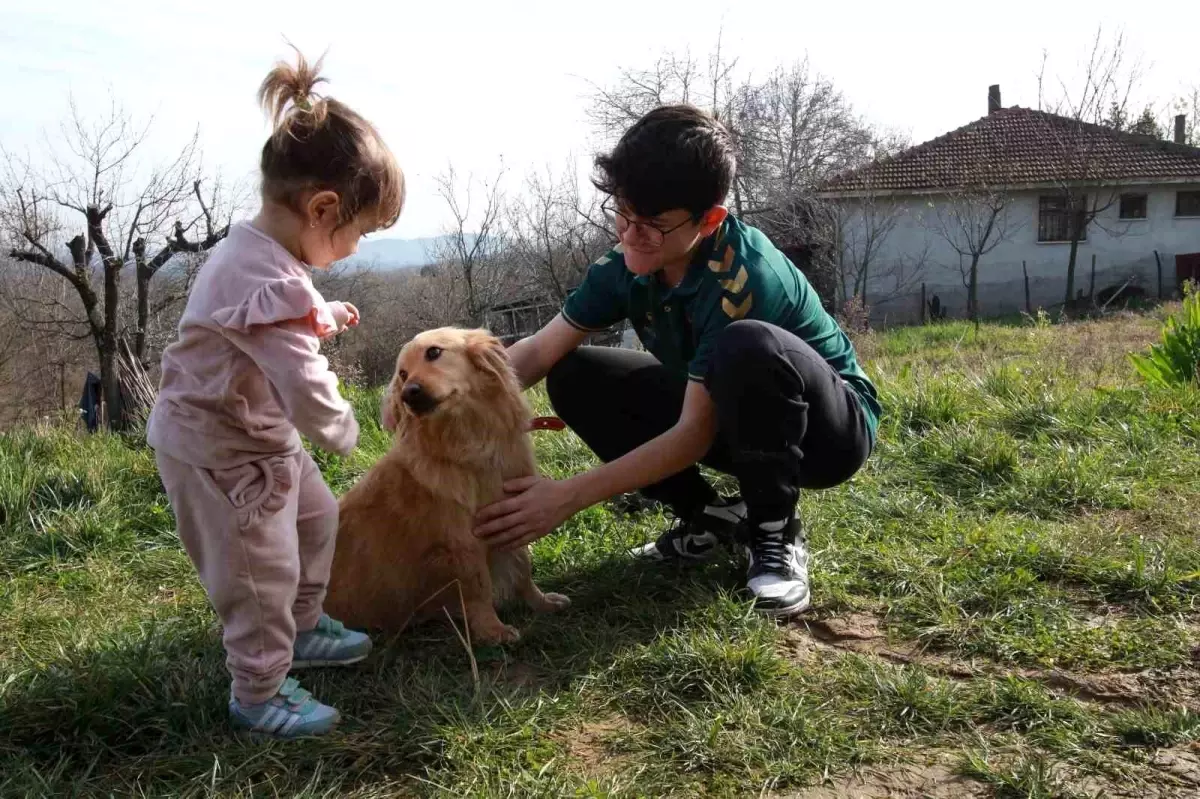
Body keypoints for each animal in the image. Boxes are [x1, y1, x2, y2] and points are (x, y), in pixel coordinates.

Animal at [326, 326, 568, 643]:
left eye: (434, 352)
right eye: (402, 374)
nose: (408, 393)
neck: (469, 443)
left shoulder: (512, 516)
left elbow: (523, 568)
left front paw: (541, 603)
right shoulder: (462, 544)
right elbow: (480, 589)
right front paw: (493, 631)